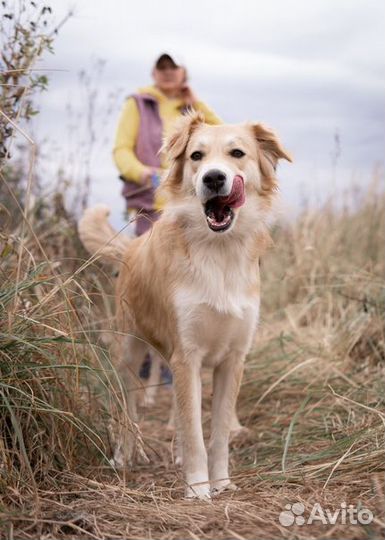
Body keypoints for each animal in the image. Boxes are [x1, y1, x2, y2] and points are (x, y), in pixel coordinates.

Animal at [78, 112, 290, 500]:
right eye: (196, 156)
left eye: (237, 153)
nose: (213, 177)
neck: (219, 252)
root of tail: (132, 248)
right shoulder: (187, 355)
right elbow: (195, 434)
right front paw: (197, 488)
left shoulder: (230, 360)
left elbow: (216, 433)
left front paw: (221, 482)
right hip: (129, 354)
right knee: (128, 411)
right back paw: (124, 456)